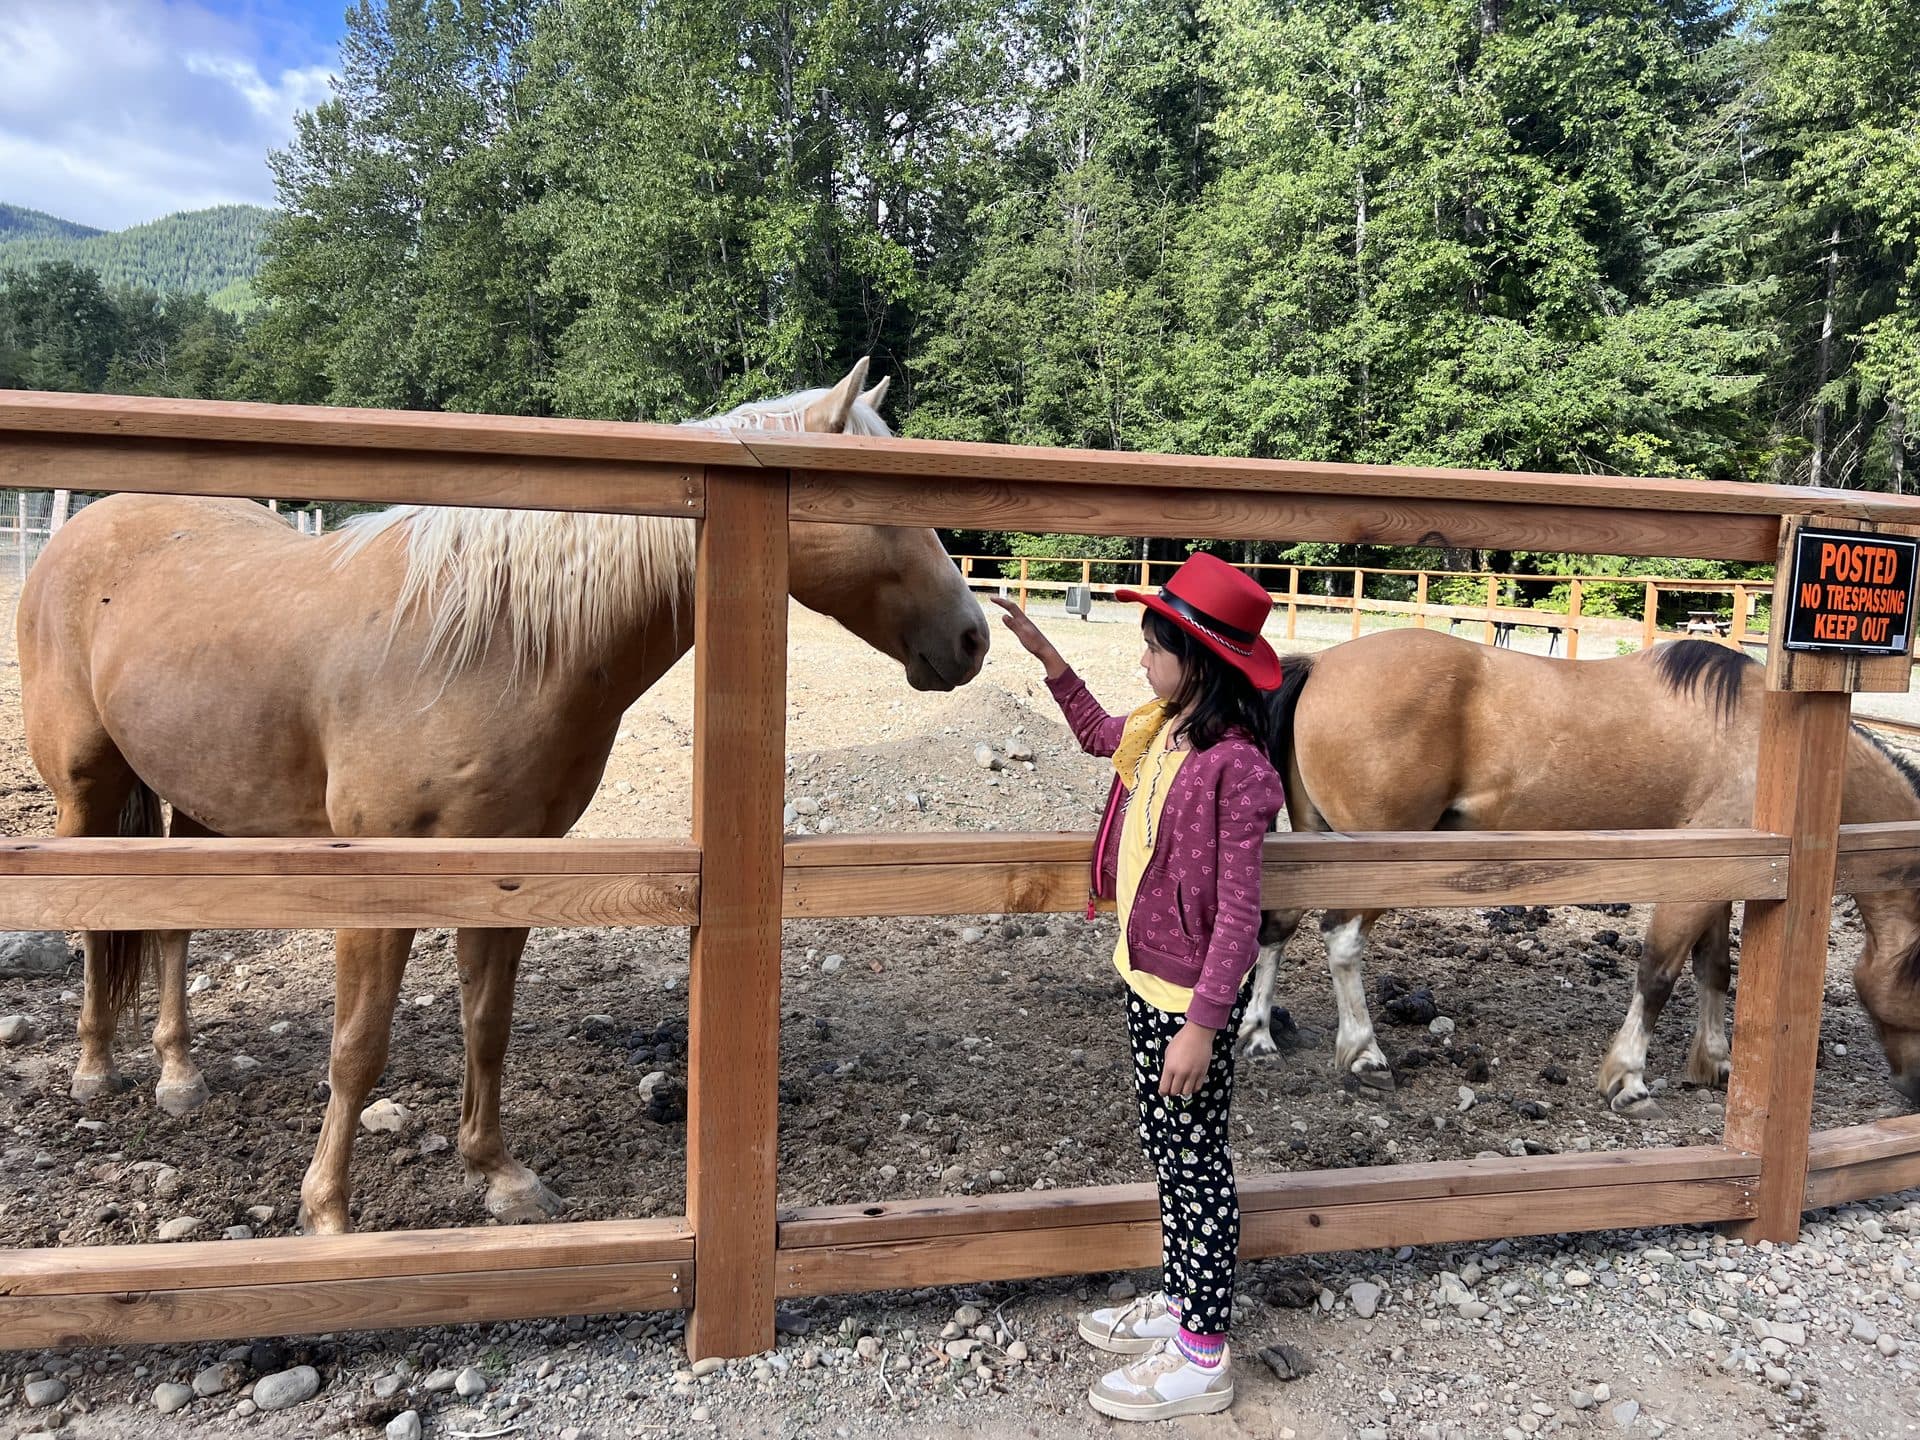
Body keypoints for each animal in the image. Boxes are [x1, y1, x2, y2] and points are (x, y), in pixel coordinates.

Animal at [19, 360, 990, 1234]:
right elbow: (358, 1046)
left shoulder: (514, 868)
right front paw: (327, 1213)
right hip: (87, 790)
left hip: (202, 801)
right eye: (877, 501)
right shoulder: (381, 880)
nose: (974, 638)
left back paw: (179, 1074)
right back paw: (95, 1069)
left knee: (172, 925)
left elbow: (487, 1023)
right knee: (94, 915)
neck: (489, 642)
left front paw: (499, 1174)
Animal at [1237, 628, 1920, 1114]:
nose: (1914, 1089)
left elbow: (1714, 970)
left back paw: (1259, 1036)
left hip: (1317, 844)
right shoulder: (1695, 880)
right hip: (1377, 861)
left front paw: (1716, 1061)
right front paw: (1629, 1078)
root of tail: (1322, 666)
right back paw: (1364, 1053)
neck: (1770, 742)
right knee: (1341, 938)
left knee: (1280, 926)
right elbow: (1658, 973)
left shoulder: (1725, 875)